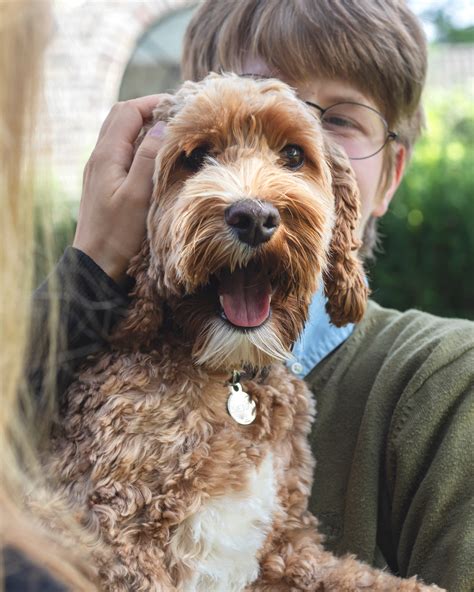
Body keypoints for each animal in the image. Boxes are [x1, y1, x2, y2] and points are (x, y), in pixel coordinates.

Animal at [50, 73, 442, 592]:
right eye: (196, 157)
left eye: (293, 155)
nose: (254, 217)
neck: (229, 373)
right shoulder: (115, 535)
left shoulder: (285, 549)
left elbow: (361, 577)